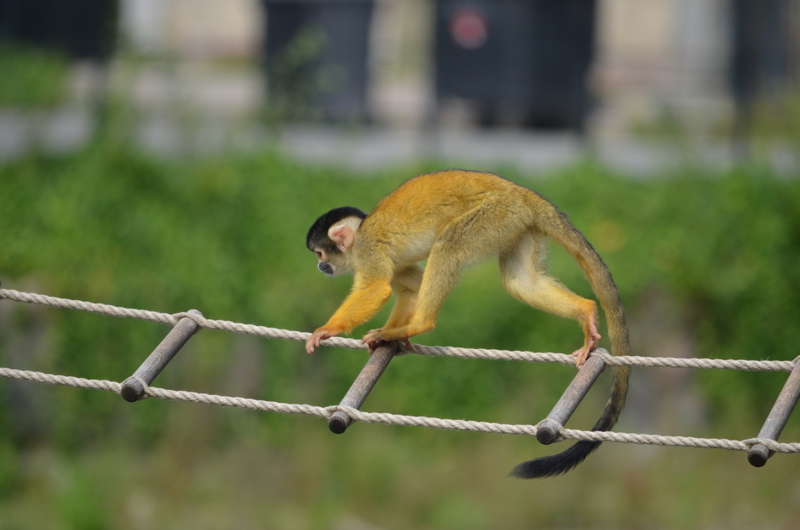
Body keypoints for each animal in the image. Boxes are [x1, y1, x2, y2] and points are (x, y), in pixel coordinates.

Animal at [305, 170, 630, 478]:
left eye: (320, 253)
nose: (320, 266)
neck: (360, 235)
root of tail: (522, 192)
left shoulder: (369, 249)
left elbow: (376, 288)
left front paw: (329, 330)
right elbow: (411, 288)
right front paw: (388, 337)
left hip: (494, 214)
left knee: (448, 242)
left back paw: (420, 323)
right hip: (514, 224)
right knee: (520, 283)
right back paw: (585, 311)